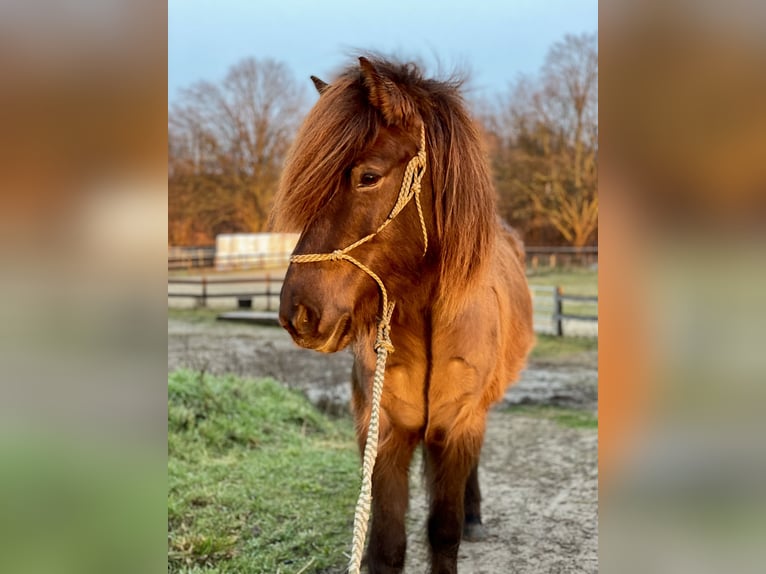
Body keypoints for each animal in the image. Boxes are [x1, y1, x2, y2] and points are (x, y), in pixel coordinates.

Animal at [271, 56, 534, 574]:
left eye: (368, 177)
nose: (299, 313)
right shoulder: (385, 431)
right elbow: (386, 544)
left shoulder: (456, 426)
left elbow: (444, 532)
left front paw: (463, 522)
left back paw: (476, 516)